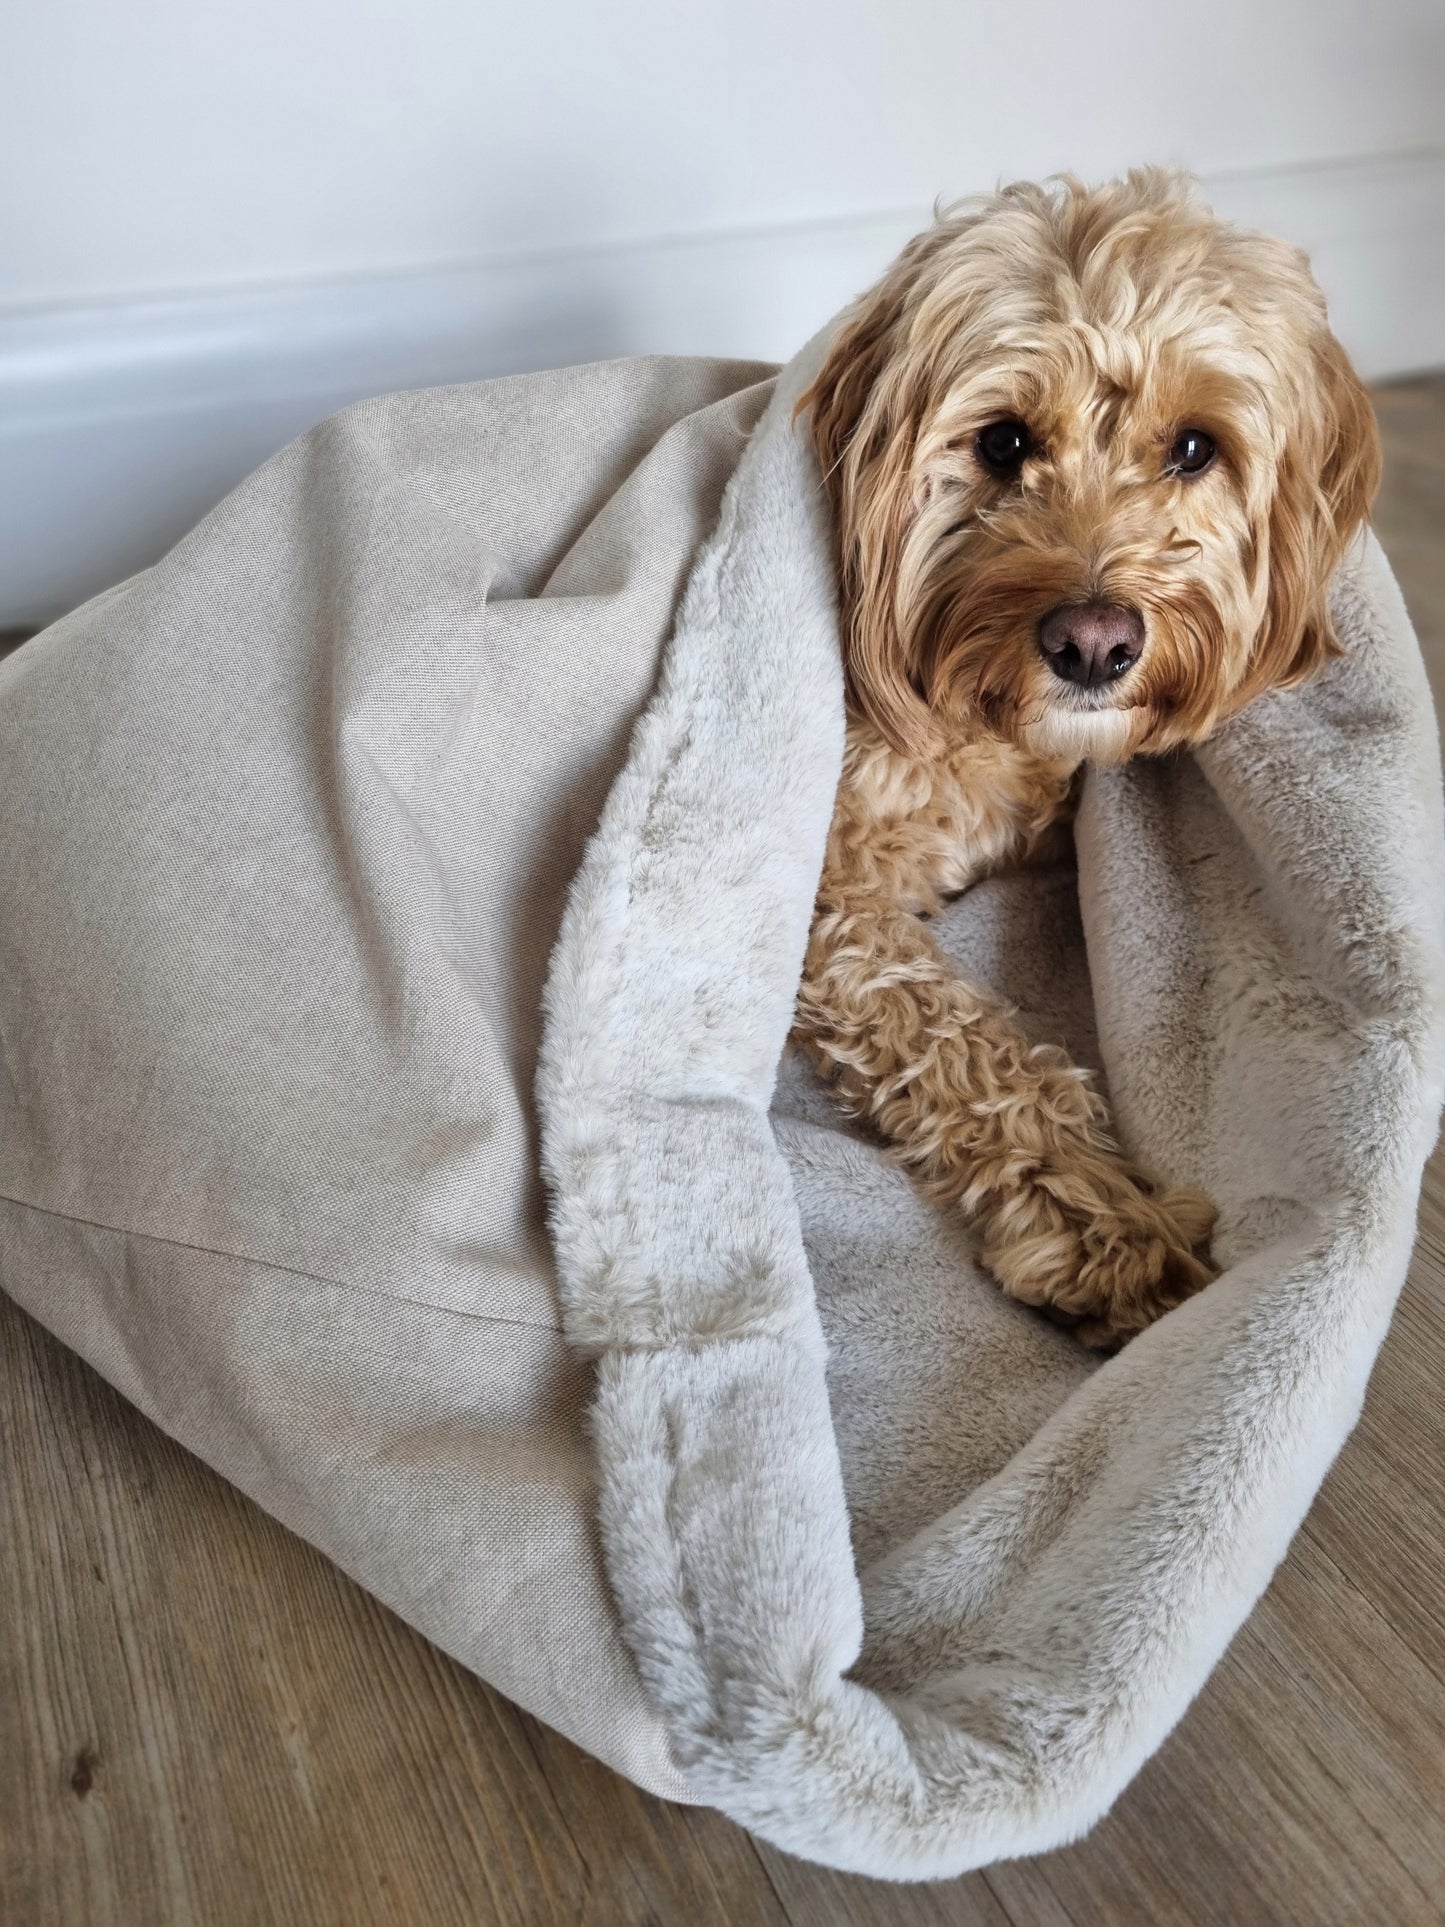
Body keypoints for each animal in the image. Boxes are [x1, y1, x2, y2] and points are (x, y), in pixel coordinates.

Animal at [797, 169, 1387, 1341]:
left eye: (1194, 447)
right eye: (1002, 442)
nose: (1092, 643)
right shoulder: (819, 903)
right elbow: (954, 1038)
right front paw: (1103, 1226)